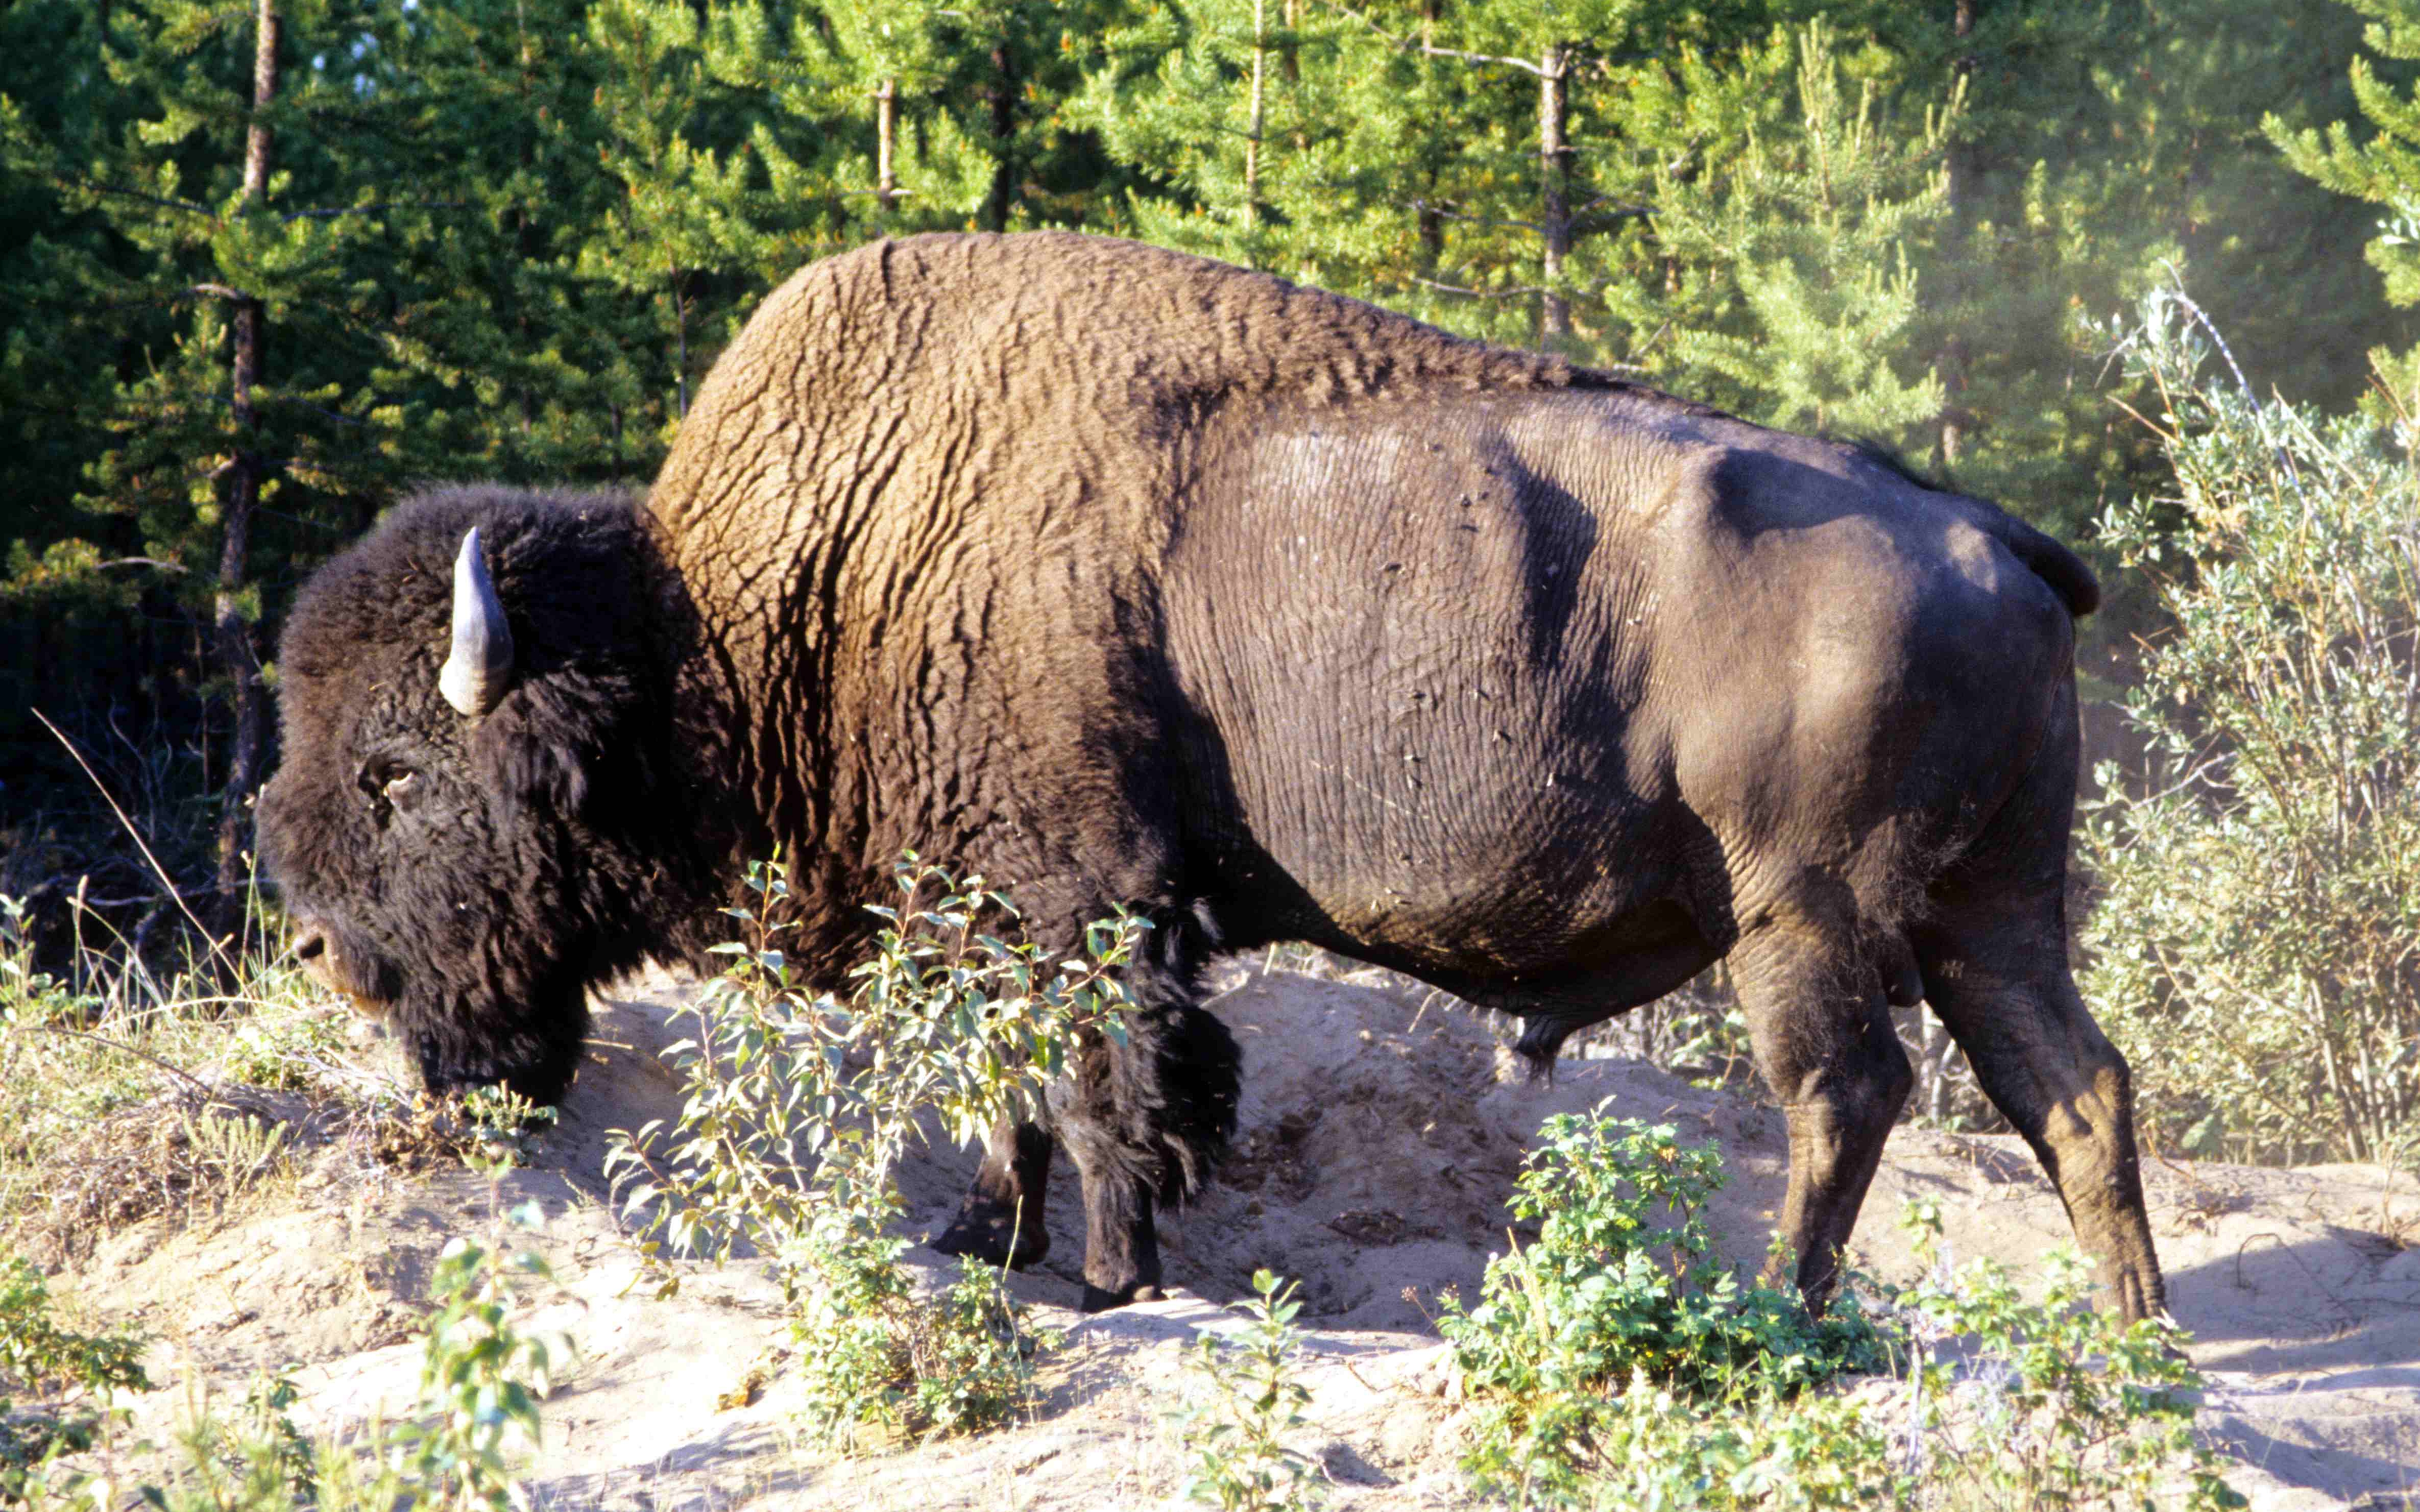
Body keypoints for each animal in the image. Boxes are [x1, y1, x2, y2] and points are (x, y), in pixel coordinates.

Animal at [258, 232, 2164, 1320]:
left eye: (394, 771)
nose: (333, 956)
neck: (748, 611)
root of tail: (1988, 535)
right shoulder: (984, 915)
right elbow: (1012, 1086)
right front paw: (984, 1243)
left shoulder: (1083, 898)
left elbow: (1111, 1085)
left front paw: (1111, 1279)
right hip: (1991, 905)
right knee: (2073, 1087)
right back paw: (2130, 1337)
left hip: (1809, 910)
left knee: (1844, 1091)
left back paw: (1781, 1314)